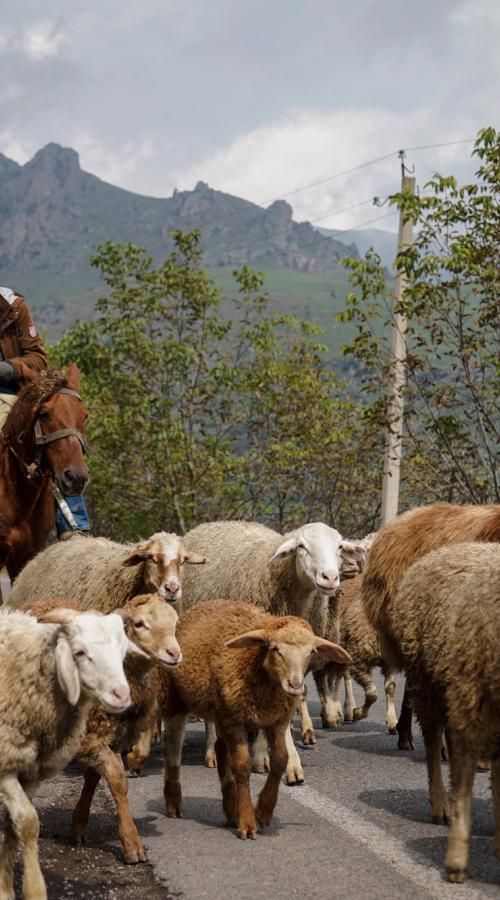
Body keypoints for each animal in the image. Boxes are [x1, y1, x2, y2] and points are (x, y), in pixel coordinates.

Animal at [0, 604, 133, 900]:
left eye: (122, 651)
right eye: (80, 652)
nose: (121, 695)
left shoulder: (31, 772)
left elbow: (12, 827)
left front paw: (4, 888)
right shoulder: (5, 764)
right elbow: (28, 823)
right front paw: (33, 890)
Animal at [25, 592, 182, 864]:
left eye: (174, 622)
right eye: (140, 624)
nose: (174, 653)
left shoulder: (109, 737)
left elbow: (93, 779)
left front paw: (78, 825)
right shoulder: (89, 739)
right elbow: (118, 781)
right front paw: (131, 843)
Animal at [158, 600, 350, 840]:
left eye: (311, 651)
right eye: (275, 649)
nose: (295, 685)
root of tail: (205, 604)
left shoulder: (276, 720)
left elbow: (280, 760)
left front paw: (264, 811)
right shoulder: (236, 721)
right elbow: (241, 766)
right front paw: (248, 821)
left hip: (222, 711)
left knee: (220, 748)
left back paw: (230, 808)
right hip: (178, 700)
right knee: (172, 748)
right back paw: (174, 802)